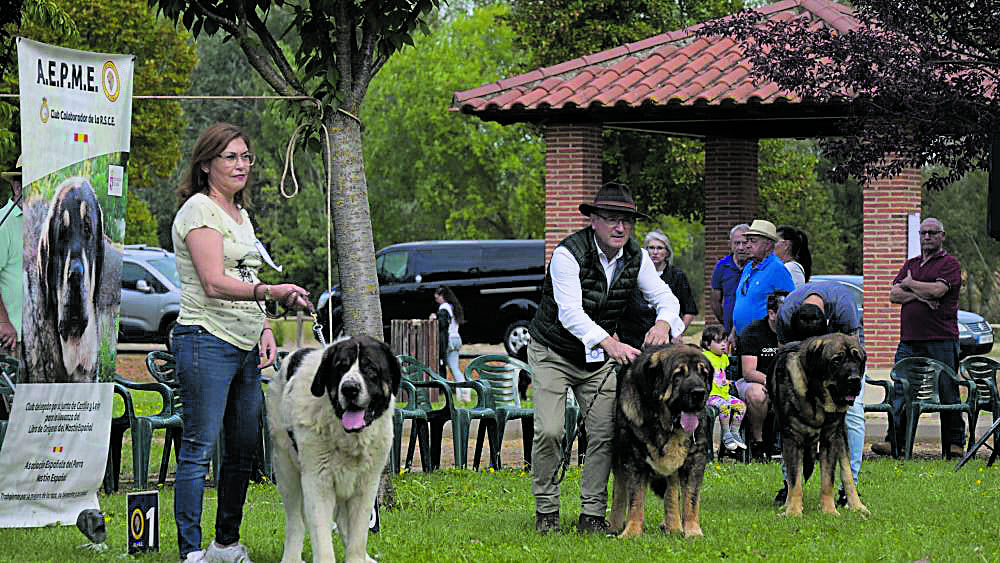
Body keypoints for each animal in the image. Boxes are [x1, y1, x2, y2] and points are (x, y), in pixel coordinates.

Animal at [272, 338, 404, 563]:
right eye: (341, 367)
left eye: (370, 368)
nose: (350, 388)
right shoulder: (318, 481)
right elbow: (321, 535)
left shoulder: (367, 484)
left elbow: (358, 535)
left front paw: (357, 558)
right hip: (286, 468)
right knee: (295, 520)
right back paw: (291, 558)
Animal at [604, 344, 716, 536]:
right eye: (678, 375)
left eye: (704, 374)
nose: (699, 393)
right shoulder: (634, 459)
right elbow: (635, 498)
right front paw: (632, 532)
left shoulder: (695, 459)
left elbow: (691, 498)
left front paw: (693, 532)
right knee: (619, 490)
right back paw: (615, 526)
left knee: (671, 492)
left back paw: (674, 527)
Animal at [768, 332, 872, 516]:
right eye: (836, 360)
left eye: (857, 360)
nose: (854, 379)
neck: (816, 398)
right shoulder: (792, 438)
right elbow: (794, 480)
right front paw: (793, 512)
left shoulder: (830, 439)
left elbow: (828, 480)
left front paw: (829, 511)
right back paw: (787, 505)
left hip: (841, 438)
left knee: (848, 474)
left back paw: (857, 506)